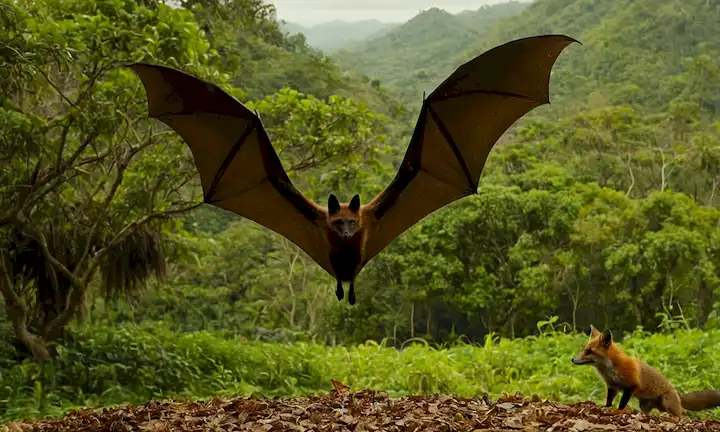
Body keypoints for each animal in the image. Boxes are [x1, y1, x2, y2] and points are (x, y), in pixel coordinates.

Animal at [572, 325, 720, 417]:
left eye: (589, 351)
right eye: (584, 349)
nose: (573, 359)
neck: (611, 369)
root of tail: (677, 393)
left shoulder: (631, 386)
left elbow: (622, 404)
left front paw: (618, 411)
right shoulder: (612, 386)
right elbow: (609, 401)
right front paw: (606, 407)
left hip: (666, 401)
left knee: (681, 415)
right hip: (644, 405)